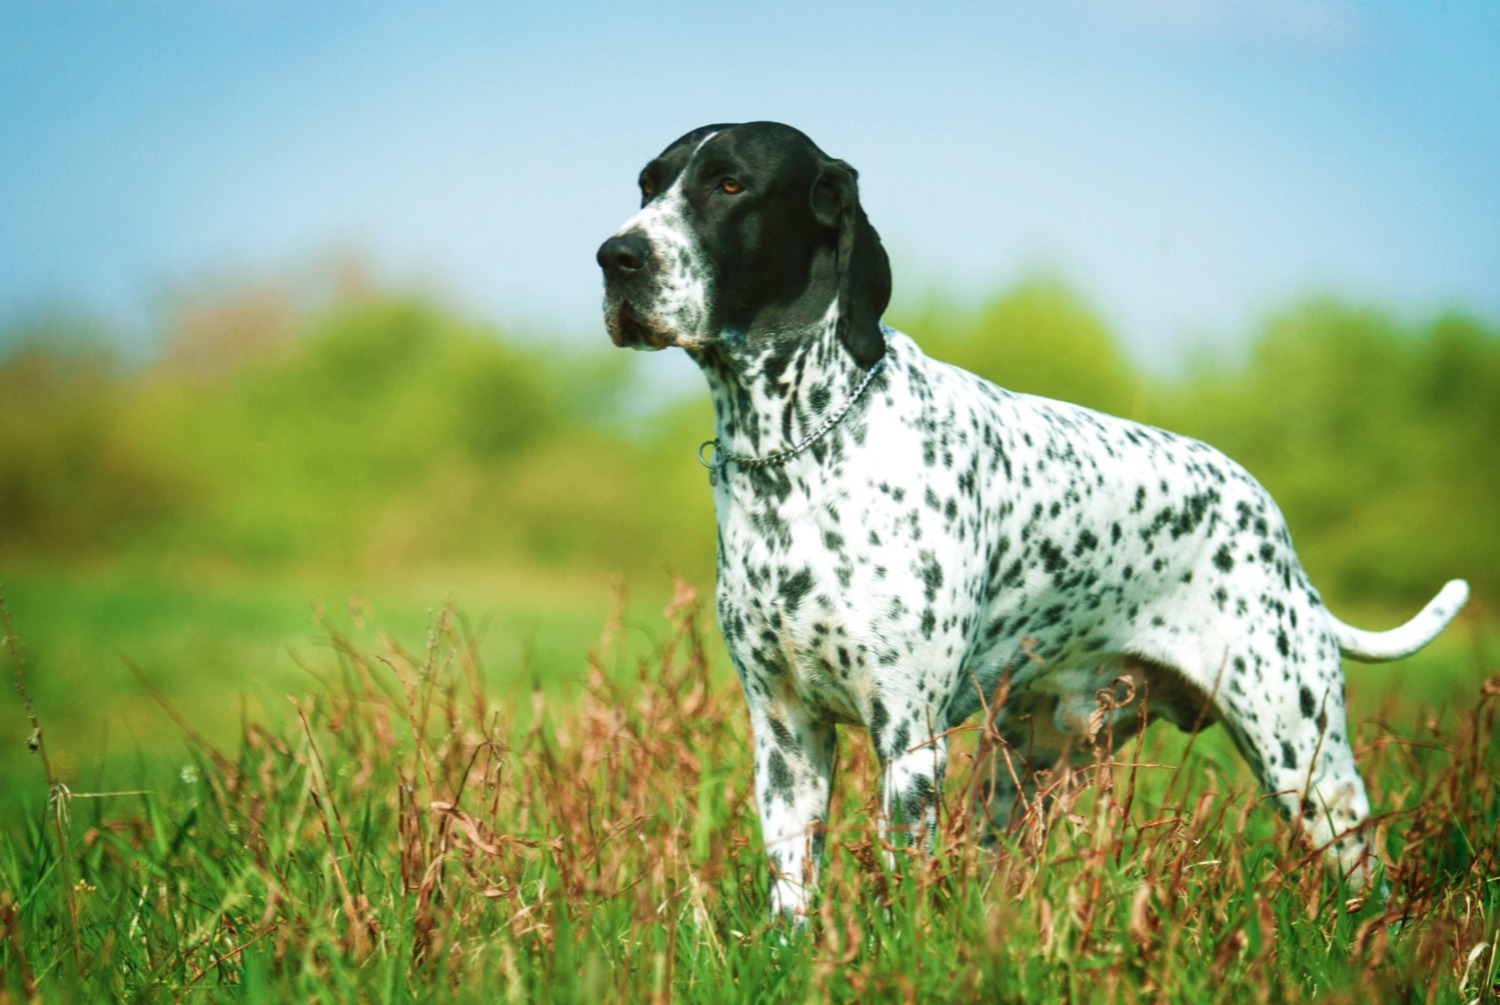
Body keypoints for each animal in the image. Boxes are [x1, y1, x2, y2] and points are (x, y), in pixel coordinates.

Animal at [594, 122, 1464, 924]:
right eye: (648, 184)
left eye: (730, 185)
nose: (615, 256)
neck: (797, 452)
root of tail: (1271, 524)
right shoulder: (785, 734)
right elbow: (790, 893)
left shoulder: (907, 735)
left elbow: (898, 887)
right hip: (1022, 772)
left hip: (1305, 764)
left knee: (1368, 879)